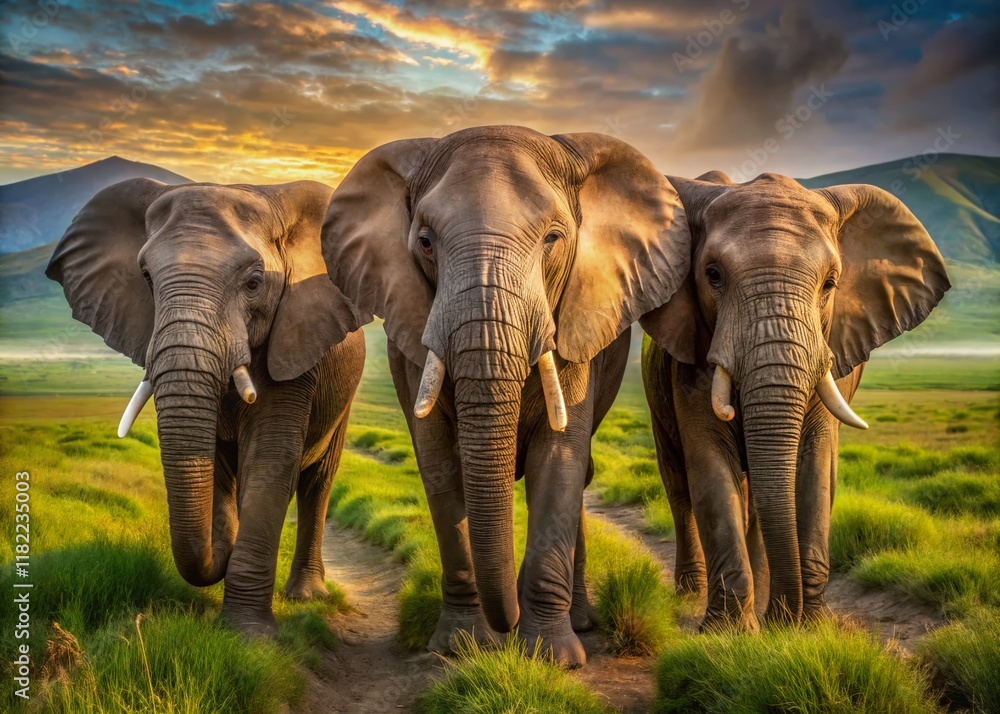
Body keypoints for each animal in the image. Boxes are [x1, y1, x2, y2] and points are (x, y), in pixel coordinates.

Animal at [46, 178, 365, 634]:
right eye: (146, 277)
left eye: (254, 283)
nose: (223, 554)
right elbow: (215, 462)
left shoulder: (295, 344)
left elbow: (270, 459)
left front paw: (248, 635)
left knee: (317, 482)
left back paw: (305, 596)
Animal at [320, 125, 690, 666]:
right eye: (425, 242)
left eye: (553, 239)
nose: (507, 623)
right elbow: (438, 463)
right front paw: (459, 647)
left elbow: (559, 459)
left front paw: (552, 658)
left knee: (579, 474)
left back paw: (580, 621)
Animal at [639, 170, 950, 630]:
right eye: (713, 275)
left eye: (830, 283)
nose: (785, 616)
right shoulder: (689, 359)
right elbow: (709, 468)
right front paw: (729, 633)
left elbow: (817, 468)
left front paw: (808, 627)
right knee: (679, 487)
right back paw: (695, 594)